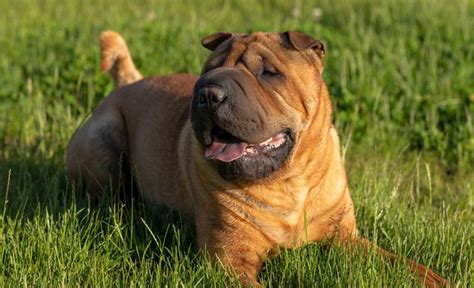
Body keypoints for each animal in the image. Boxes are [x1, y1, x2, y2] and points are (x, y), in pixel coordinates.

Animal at [65, 29, 448, 286]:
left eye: (269, 72)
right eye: (208, 70)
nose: (209, 93)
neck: (288, 182)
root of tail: (128, 85)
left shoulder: (345, 238)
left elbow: (403, 264)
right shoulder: (230, 259)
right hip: (103, 139)